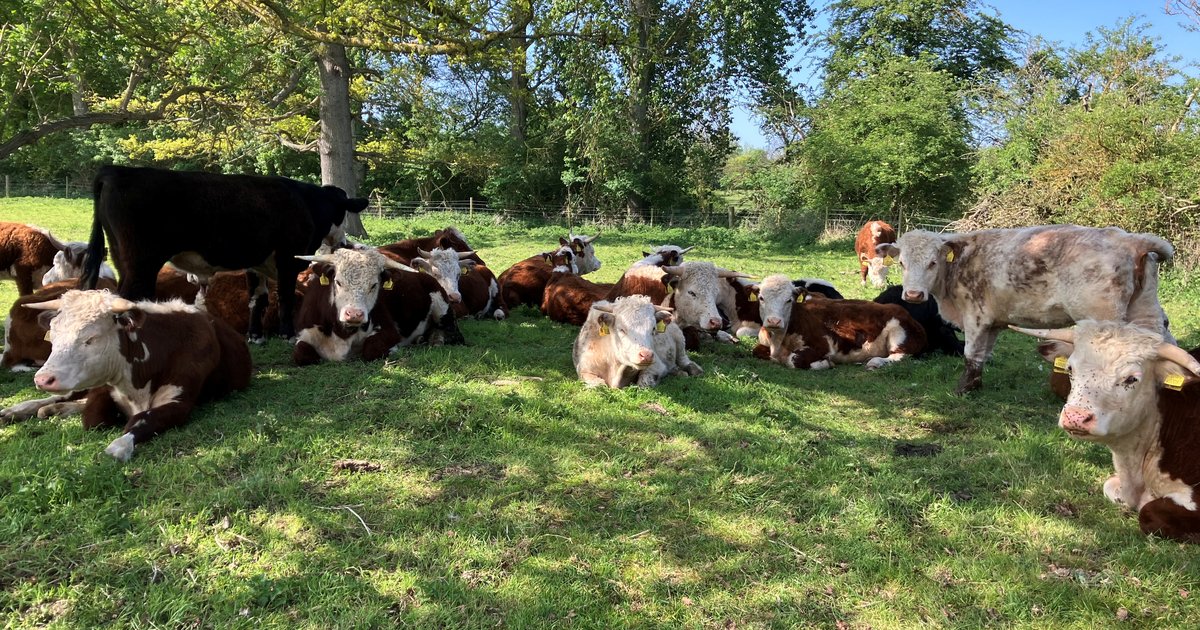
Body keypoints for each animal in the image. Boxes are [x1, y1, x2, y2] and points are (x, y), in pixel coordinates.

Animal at [15, 290, 251, 461]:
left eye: (91, 338)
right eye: (53, 336)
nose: (43, 379)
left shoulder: (179, 403)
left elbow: (142, 420)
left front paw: (120, 444)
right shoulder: (103, 386)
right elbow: (93, 416)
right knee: (64, 397)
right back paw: (18, 410)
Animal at [80, 165, 367, 342]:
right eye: (344, 214)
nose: (345, 243)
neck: (306, 202)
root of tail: (115, 170)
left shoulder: (257, 263)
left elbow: (258, 299)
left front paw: (255, 335)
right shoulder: (288, 259)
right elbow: (284, 297)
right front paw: (288, 333)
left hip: (123, 259)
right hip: (141, 264)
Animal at [573, 296, 703, 388]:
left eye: (653, 328)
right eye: (622, 329)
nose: (646, 355)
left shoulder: (657, 366)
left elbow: (643, 383)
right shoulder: (584, 368)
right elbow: (599, 384)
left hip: (680, 339)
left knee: (683, 359)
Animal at [751, 274, 926, 369]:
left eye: (789, 300)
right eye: (761, 298)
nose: (774, 321)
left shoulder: (824, 345)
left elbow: (794, 359)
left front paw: (825, 364)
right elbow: (756, 351)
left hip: (899, 334)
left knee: (901, 356)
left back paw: (875, 362)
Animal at [879, 225, 1174, 394]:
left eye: (932, 262)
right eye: (902, 263)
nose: (913, 294)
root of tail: (1130, 239)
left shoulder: (975, 316)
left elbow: (970, 353)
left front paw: (962, 390)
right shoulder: (993, 321)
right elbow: (982, 356)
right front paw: (975, 386)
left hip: (1106, 318)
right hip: (1144, 310)